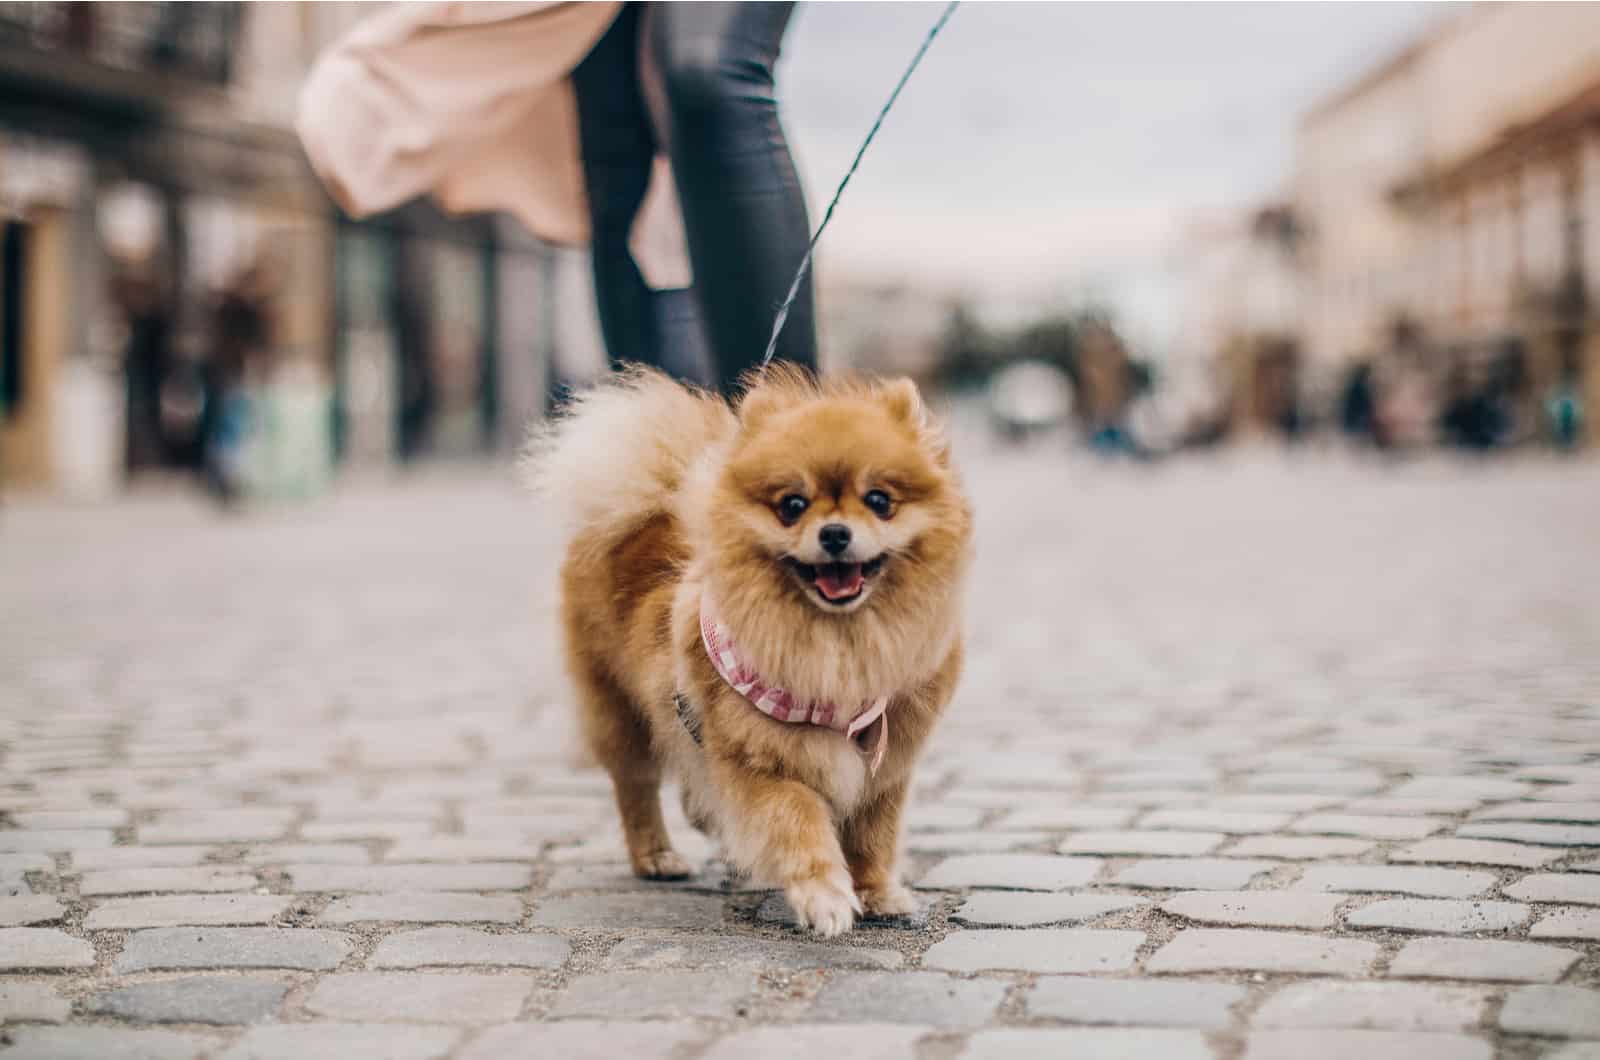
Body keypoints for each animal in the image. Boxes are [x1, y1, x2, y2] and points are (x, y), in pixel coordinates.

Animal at [531, 365, 966, 941]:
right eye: (792, 506)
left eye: (879, 500)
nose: (834, 532)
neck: (838, 646)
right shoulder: (762, 765)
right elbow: (799, 825)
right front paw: (825, 897)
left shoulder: (885, 767)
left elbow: (874, 837)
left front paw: (877, 893)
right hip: (622, 714)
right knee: (636, 787)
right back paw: (656, 856)